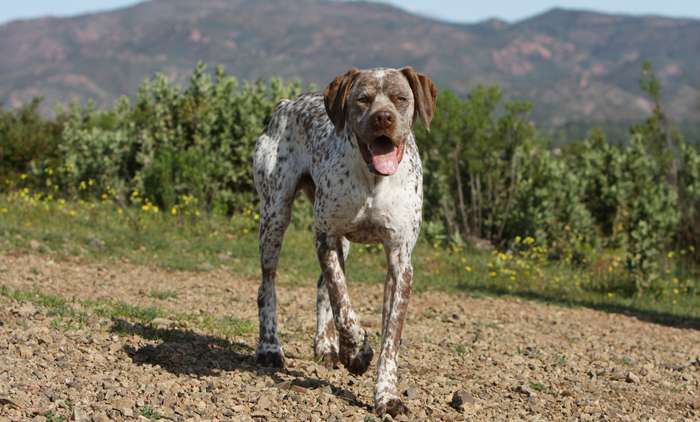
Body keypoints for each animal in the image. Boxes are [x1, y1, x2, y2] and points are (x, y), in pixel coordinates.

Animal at [252, 67, 438, 418]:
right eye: (363, 99)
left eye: (400, 98)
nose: (383, 118)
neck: (373, 180)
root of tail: (286, 103)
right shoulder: (325, 237)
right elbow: (344, 305)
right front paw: (357, 352)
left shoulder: (400, 261)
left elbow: (390, 338)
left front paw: (386, 396)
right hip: (275, 215)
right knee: (267, 285)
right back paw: (270, 347)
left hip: (340, 242)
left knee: (320, 284)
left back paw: (326, 346)